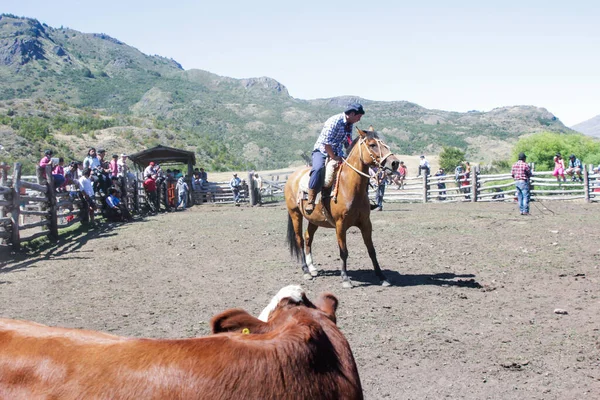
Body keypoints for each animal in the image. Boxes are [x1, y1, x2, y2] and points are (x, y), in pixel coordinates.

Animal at [284, 128, 398, 288]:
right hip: (295, 214)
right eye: (372, 145)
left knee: (308, 238)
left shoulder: (366, 223)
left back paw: (312, 268)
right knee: (299, 239)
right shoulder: (340, 225)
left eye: (384, 143)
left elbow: (371, 250)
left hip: (314, 219)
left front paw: (382, 277)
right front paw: (345, 278)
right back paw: (306, 271)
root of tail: (292, 177)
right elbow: (343, 251)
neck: (349, 186)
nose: (394, 163)